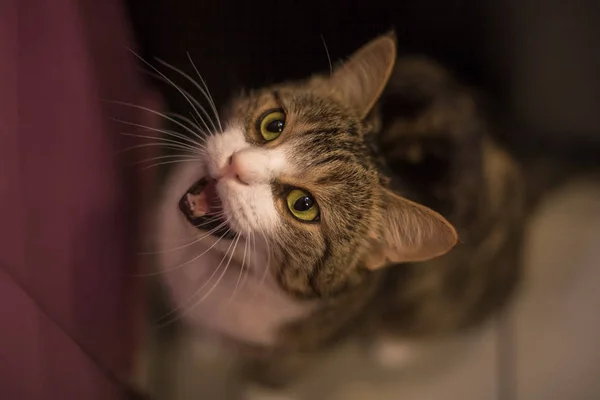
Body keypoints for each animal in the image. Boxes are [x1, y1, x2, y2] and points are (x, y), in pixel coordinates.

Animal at [150, 32, 524, 396]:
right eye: (273, 124)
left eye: (303, 205)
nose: (236, 165)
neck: (224, 268)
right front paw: (202, 343)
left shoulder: (304, 348)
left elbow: (272, 377)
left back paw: (394, 347)